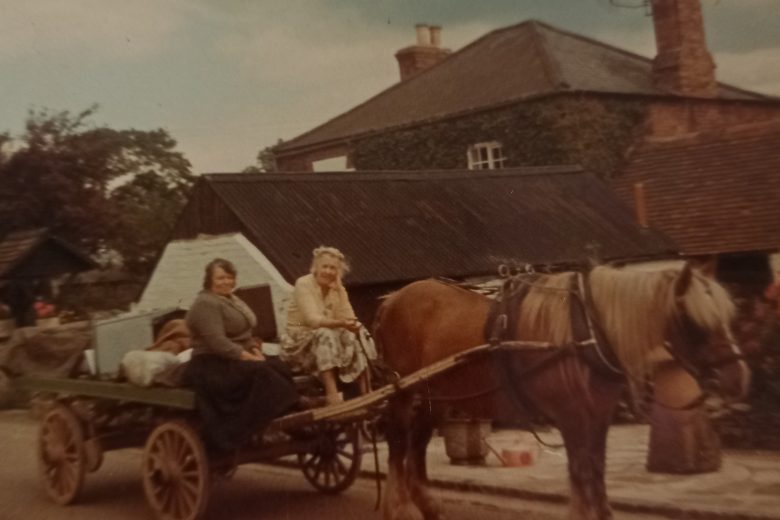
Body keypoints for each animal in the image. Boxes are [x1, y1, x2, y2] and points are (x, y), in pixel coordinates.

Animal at [374, 264, 752, 520]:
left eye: (727, 317)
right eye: (696, 322)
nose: (739, 379)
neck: (589, 331)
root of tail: (392, 299)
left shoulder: (597, 416)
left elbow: (596, 471)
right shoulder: (571, 417)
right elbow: (581, 473)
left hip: (437, 396)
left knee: (416, 445)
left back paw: (428, 504)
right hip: (402, 392)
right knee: (397, 443)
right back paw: (400, 507)